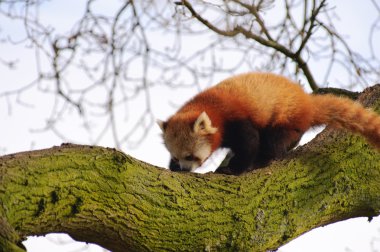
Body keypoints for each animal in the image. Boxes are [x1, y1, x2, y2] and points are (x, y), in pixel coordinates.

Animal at [157, 73, 380, 174]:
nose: (184, 169)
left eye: (190, 156)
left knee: (273, 141)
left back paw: (263, 159)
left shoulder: (236, 119)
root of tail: (306, 102)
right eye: (176, 157)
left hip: (285, 115)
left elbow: (249, 142)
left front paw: (232, 169)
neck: (211, 106)